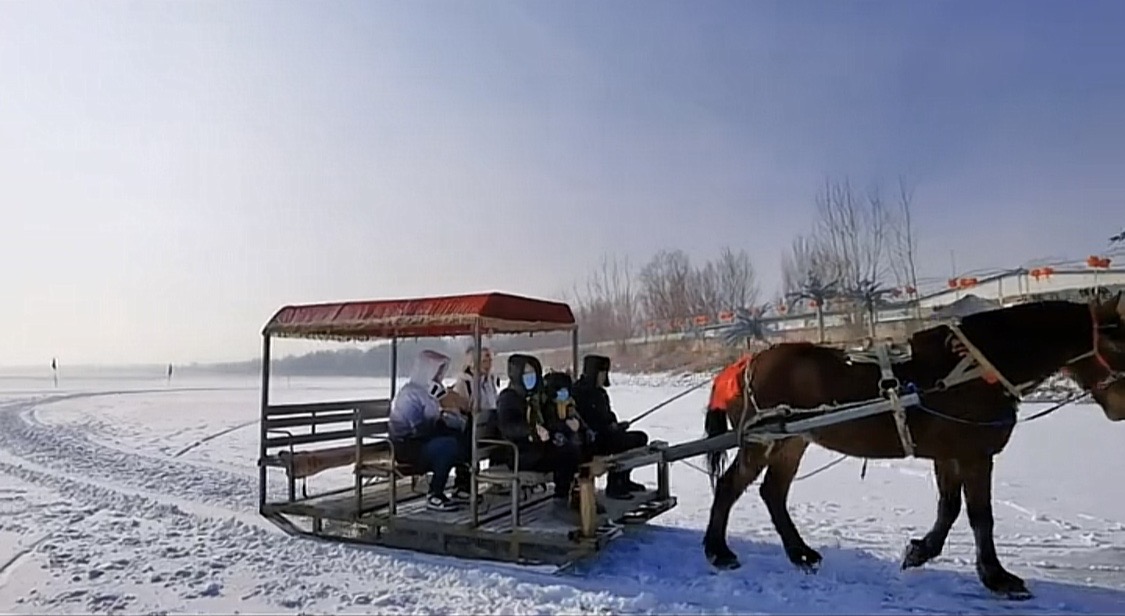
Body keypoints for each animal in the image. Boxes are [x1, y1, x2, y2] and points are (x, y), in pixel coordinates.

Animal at [702, 296, 1125, 598]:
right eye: (1118, 342)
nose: (1121, 406)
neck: (974, 372)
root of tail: (742, 365)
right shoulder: (974, 456)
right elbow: (980, 516)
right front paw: (997, 577)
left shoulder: (949, 454)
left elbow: (949, 507)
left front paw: (920, 551)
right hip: (764, 442)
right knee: (730, 486)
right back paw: (718, 551)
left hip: (791, 442)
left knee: (773, 493)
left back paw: (800, 553)